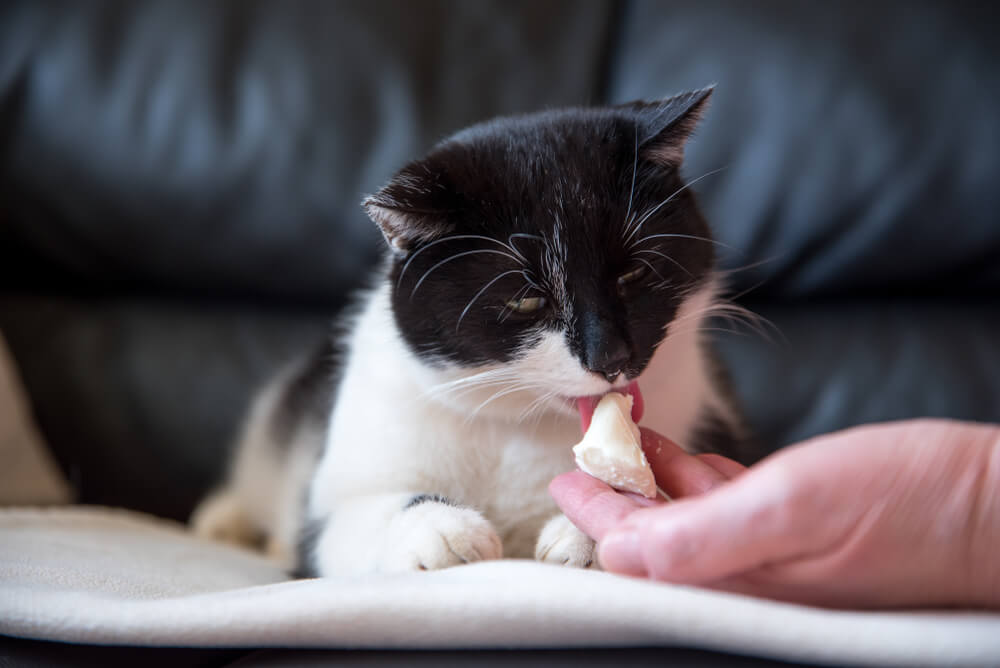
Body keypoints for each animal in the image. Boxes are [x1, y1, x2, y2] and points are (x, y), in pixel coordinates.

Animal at [191, 87, 748, 576]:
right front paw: (440, 529)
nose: (610, 357)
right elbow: (352, 516)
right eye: (526, 299)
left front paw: (587, 529)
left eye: (633, 273)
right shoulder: (337, 496)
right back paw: (224, 521)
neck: (519, 423)